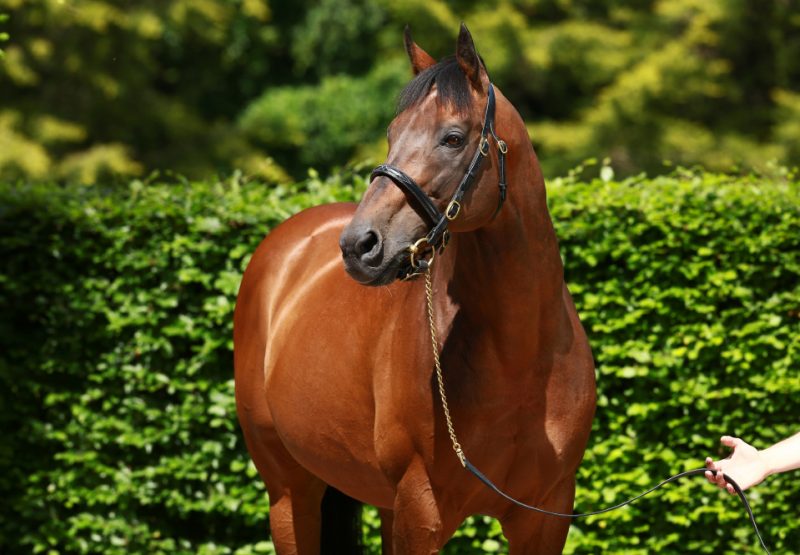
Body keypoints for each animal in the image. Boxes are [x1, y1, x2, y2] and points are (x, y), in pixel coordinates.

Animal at [234, 22, 596, 555]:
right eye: (391, 134)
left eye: (453, 137)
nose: (359, 245)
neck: (519, 356)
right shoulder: (420, 509)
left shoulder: (545, 516)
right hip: (291, 493)